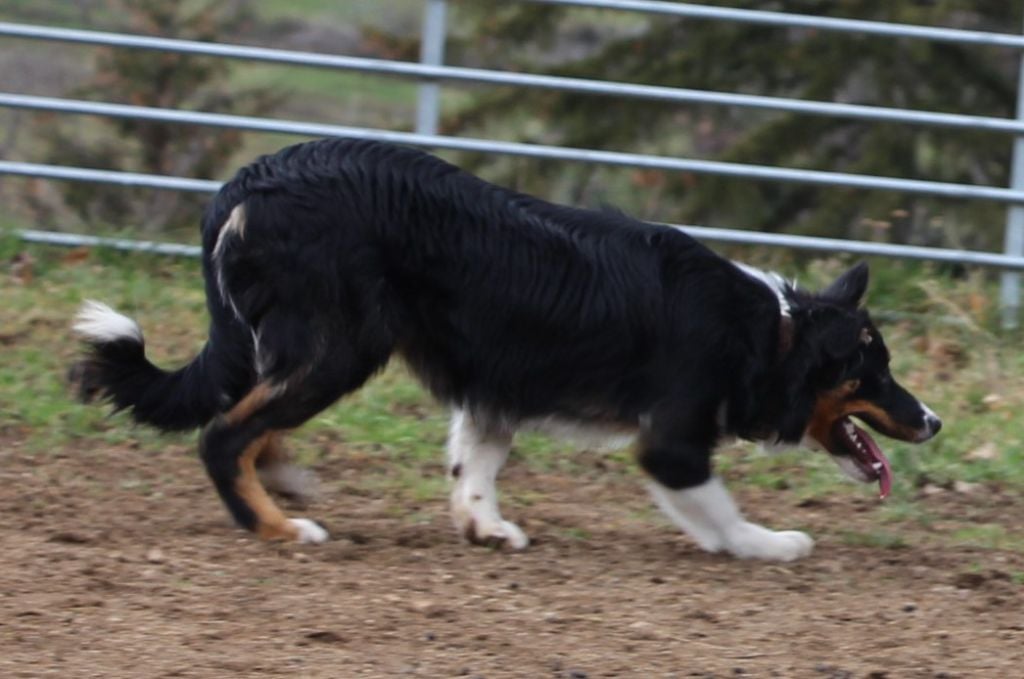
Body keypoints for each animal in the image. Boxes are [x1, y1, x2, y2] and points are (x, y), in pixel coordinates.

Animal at [72, 135, 942, 561]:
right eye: (875, 372)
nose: (932, 420)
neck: (772, 328)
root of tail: (248, 181)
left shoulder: (493, 386)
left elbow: (474, 464)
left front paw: (484, 527)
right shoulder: (672, 440)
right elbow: (718, 510)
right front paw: (770, 544)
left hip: (309, 345)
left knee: (250, 414)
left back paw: (283, 479)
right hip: (341, 345)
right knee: (225, 432)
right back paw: (279, 528)